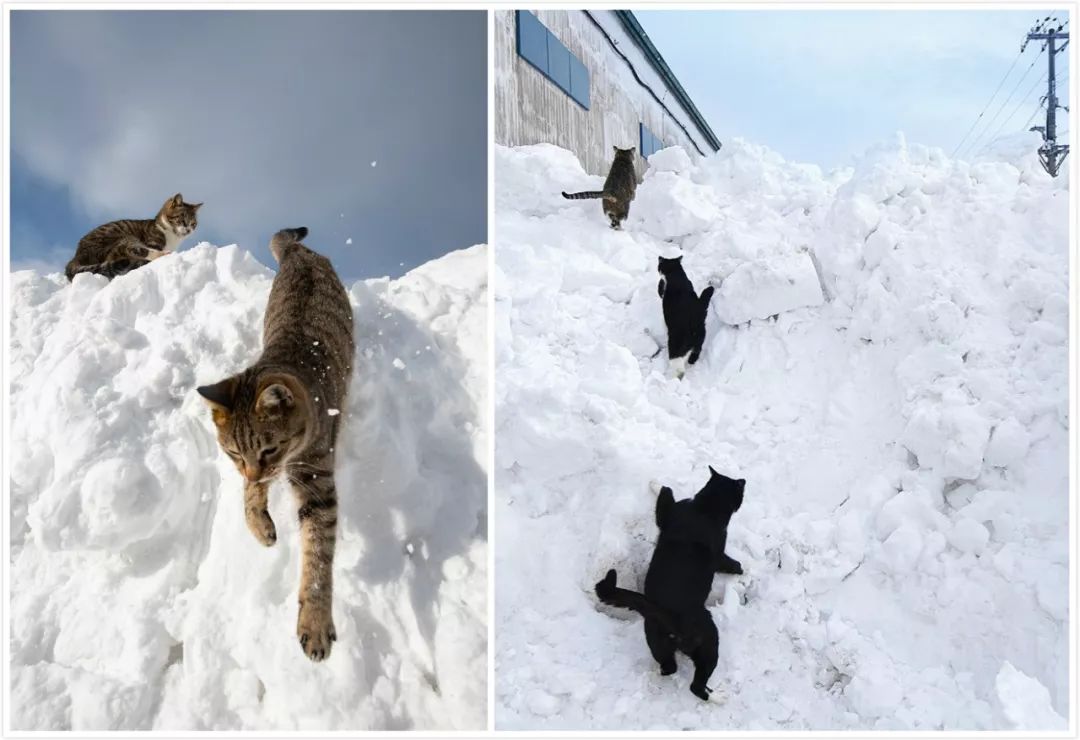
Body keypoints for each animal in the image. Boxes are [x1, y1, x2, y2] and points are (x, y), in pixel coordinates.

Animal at [65, 193, 203, 280]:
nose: (188, 229)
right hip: (121, 238)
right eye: (182, 219)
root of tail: (76, 255)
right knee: (125, 251)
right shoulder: (152, 241)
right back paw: (161, 255)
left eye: (193, 224)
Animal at [196, 226, 356, 665]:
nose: (255, 469)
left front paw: (314, 623)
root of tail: (298, 252)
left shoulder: (316, 480)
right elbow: (250, 494)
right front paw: (259, 524)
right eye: (234, 453)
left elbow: (317, 557)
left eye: (269, 449)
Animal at [596, 464, 747, 700]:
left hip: (656, 640)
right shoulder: (720, 552)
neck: (705, 508)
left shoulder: (665, 516)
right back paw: (718, 697)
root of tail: (670, 616)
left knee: (669, 668)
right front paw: (741, 571)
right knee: (696, 686)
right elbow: (732, 563)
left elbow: (664, 496)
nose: (744, 481)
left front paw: (654, 483)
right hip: (709, 641)